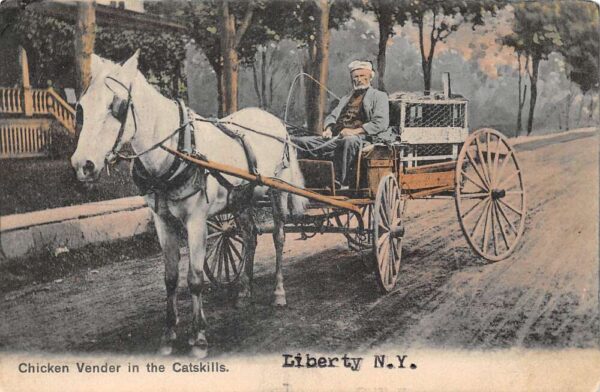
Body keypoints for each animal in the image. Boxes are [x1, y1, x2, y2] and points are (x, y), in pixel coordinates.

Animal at [71, 50, 304, 356]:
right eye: (82, 107)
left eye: (117, 106)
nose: (82, 165)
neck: (175, 150)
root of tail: (275, 121)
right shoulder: (162, 221)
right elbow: (170, 277)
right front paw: (169, 334)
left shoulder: (196, 220)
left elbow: (194, 278)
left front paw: (199, 336)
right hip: (241, 199)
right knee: (250, 236)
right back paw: (243, 291)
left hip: (277, 193)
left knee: (277, 238)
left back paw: (278, 293)